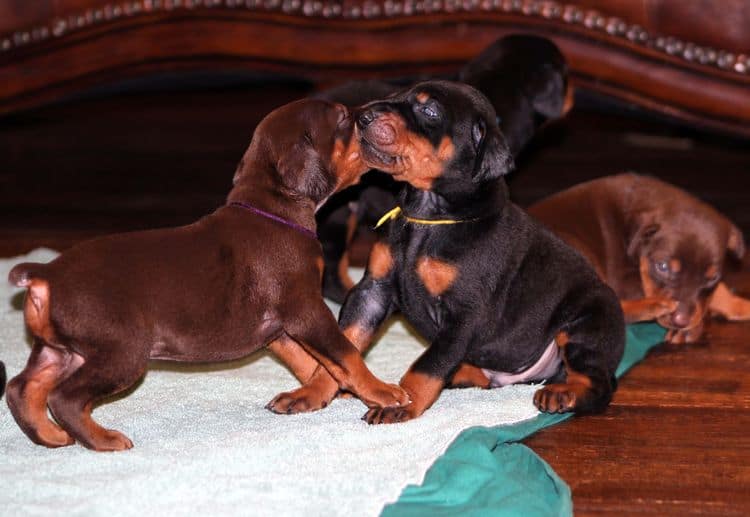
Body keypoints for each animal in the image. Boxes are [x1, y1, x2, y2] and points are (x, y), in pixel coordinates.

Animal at [5, 99, 408, 450]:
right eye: (342, 117)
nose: (369, 114)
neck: (273, 209)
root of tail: (45, 273)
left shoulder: (277, 327)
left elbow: (309, 360)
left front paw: (314, 393)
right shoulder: (306, 309)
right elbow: (345, 354)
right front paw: (382, 391)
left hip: (61, 349)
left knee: (21, 387)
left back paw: (49, 436)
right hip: (120, 350)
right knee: (65, 398)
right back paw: (104, 440)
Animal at [270, 79, 628, 420]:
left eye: (430, 111)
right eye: (398, 95)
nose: (364, 117)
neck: (427, 216)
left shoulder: (464, 313)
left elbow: (427, 365)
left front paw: (403, 403)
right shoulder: (373, 290)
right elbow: (342, 349)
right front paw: (310, 392)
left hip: (586, 322)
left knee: (600, 383)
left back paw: (562, 394)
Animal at [528, 171, 750, 344]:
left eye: (712, 277)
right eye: (663, 267)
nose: (681, 321)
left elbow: (717, 293)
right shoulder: (624, 279)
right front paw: (693, 326)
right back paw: (655, 305)